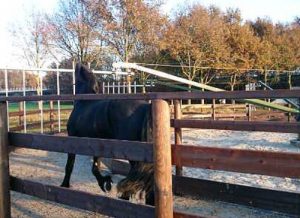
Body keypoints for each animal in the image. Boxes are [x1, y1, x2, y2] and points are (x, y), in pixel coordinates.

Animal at [61, 63, 155, 204]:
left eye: (76, 72)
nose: (78, 64)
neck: (84, 103)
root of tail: (145, 107)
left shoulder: (73, 140)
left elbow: (69, 166)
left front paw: (64, 185)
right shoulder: (97, 144)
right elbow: (95, 168)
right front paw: (105, 183)